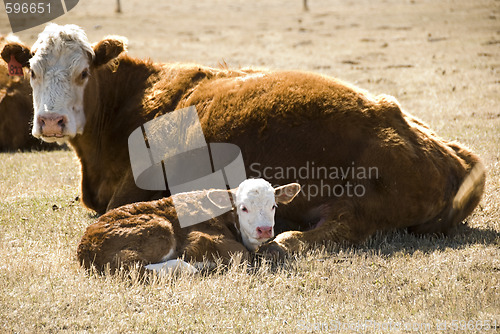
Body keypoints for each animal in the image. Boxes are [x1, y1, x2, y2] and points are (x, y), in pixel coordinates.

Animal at [0, 24, 484, 258]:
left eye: (83, 73)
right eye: (32, 71)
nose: (52, 121)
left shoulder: (133, 192)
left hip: (362, 201)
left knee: (321, 233)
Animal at [78, 179, 300, 276]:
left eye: (273, 206)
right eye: (243, 208)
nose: (264, 229)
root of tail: (86, 244)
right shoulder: (199, 238)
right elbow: (240, 255)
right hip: (160, 228)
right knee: (132, 268)